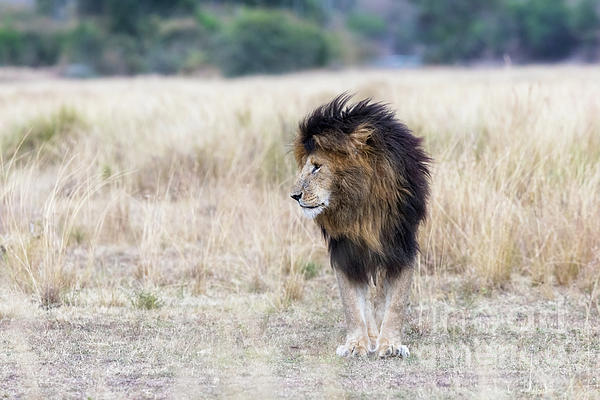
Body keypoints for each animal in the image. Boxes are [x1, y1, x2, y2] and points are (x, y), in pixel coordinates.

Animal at [292, 94, 428, 360]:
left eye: (317, 166)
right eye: (304, 166)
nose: (294, 195)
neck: (361, 207)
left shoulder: (402, 246)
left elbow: (396, 303)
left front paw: (391, 344)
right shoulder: (345, 252)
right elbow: (353, 305)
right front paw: (357, 344)